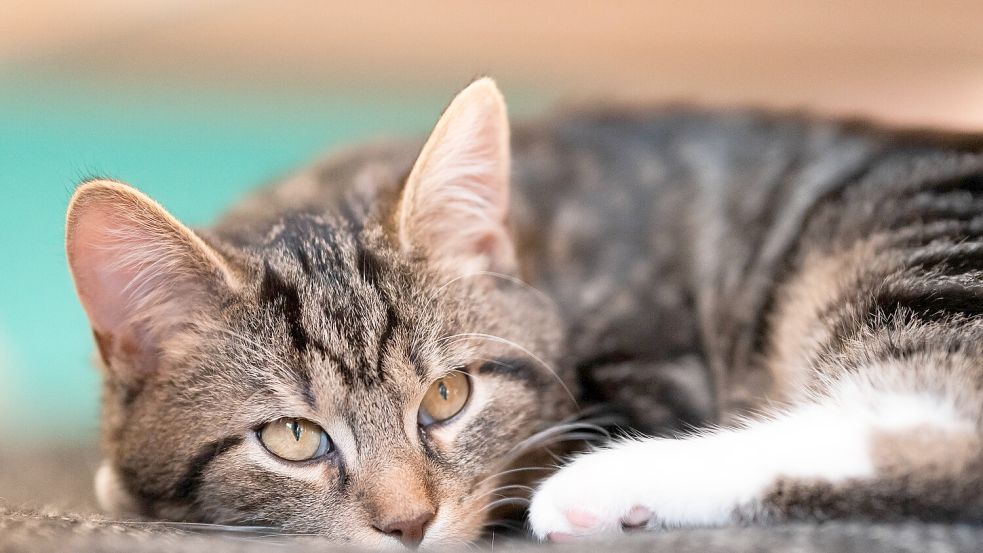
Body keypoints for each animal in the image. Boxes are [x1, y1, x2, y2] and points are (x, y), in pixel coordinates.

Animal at [63, 78, 983, 548]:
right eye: (293, 437)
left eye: (446, 396)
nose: (410, 524)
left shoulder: (654, 363)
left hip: (908, 244)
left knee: (932, 426)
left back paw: (602, 488)